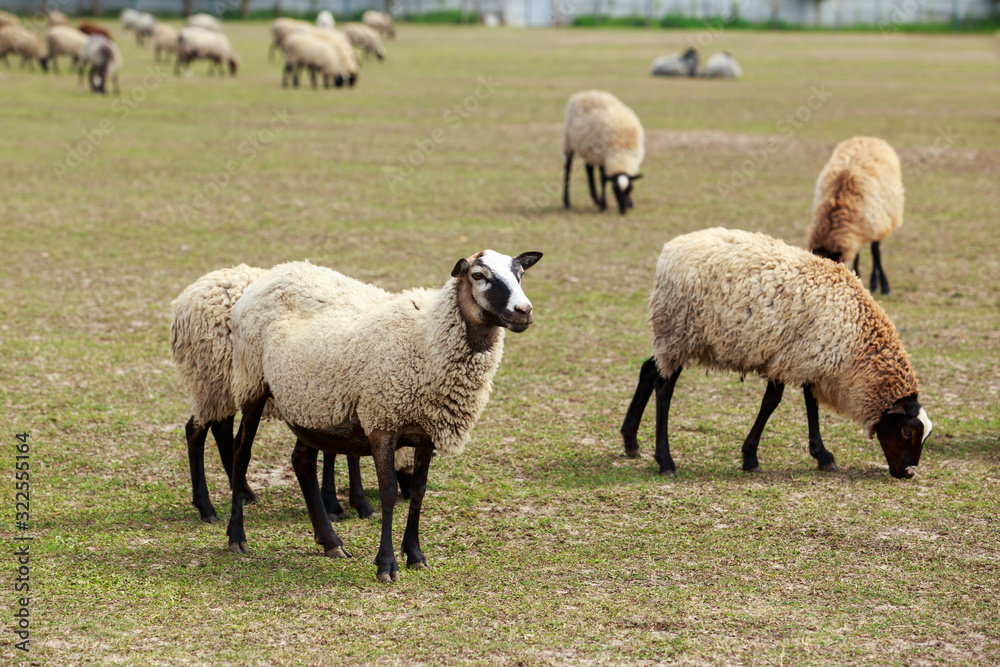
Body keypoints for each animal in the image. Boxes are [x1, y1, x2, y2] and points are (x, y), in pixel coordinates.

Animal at [227, 248, 544, 580]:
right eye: (478, 275)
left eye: (520, 274)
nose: (524, 311)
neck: (426, 336)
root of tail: (276, 272)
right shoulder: (382, 422)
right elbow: (389, 491)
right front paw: (387, 564)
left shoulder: (426, 431)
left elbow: (418, 491)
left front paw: (415, 555)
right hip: (251, 381)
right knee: (241, 452)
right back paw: (236, 537)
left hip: (312, 407)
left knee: (302, 462)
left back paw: (331, 542)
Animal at [620, 228, 932, 480]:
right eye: (906, 432)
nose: (909, 473)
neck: (857, 338)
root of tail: (670, 250)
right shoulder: (787, 357)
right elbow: (773, 401)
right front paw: (751, 457)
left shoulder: (808, 357)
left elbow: (810, 402)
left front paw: (822, 456)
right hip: (679, 332)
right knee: (664, 390)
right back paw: (665, 462)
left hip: (672, 337)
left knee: (648, 369)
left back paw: (630, 441)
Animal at [804, 136, 908, 294]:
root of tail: (869, 137)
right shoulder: (856, 231)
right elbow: (857, 253)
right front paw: (857, 274)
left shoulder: (874, 224)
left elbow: (875, 253)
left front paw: (884, 286)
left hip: (880, 221)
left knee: (875, 251)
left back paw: (877, 284)